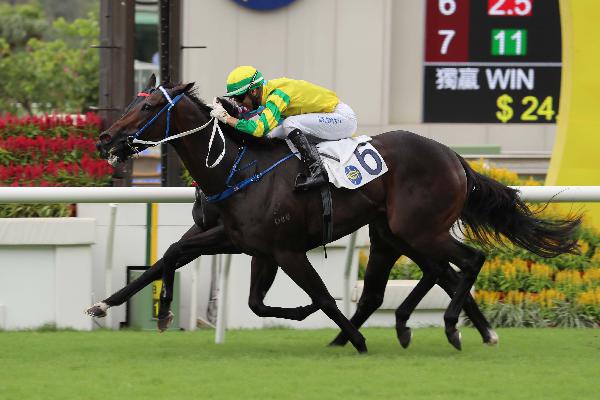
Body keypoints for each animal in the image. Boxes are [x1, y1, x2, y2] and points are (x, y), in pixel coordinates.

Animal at [96, 74, 580, 353]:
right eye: (131, 102)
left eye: (146, 107)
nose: (105, 139)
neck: (236, 167)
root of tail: (454, 156)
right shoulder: (245, 244)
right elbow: (174, 261)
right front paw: (109, 304)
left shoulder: (285, 250)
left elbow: (324, 297)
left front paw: (357, 339)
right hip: (395, 233)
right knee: (422, 278)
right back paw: (427, 328)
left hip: (417, 229)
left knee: (468, 261)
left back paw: (446, 327)